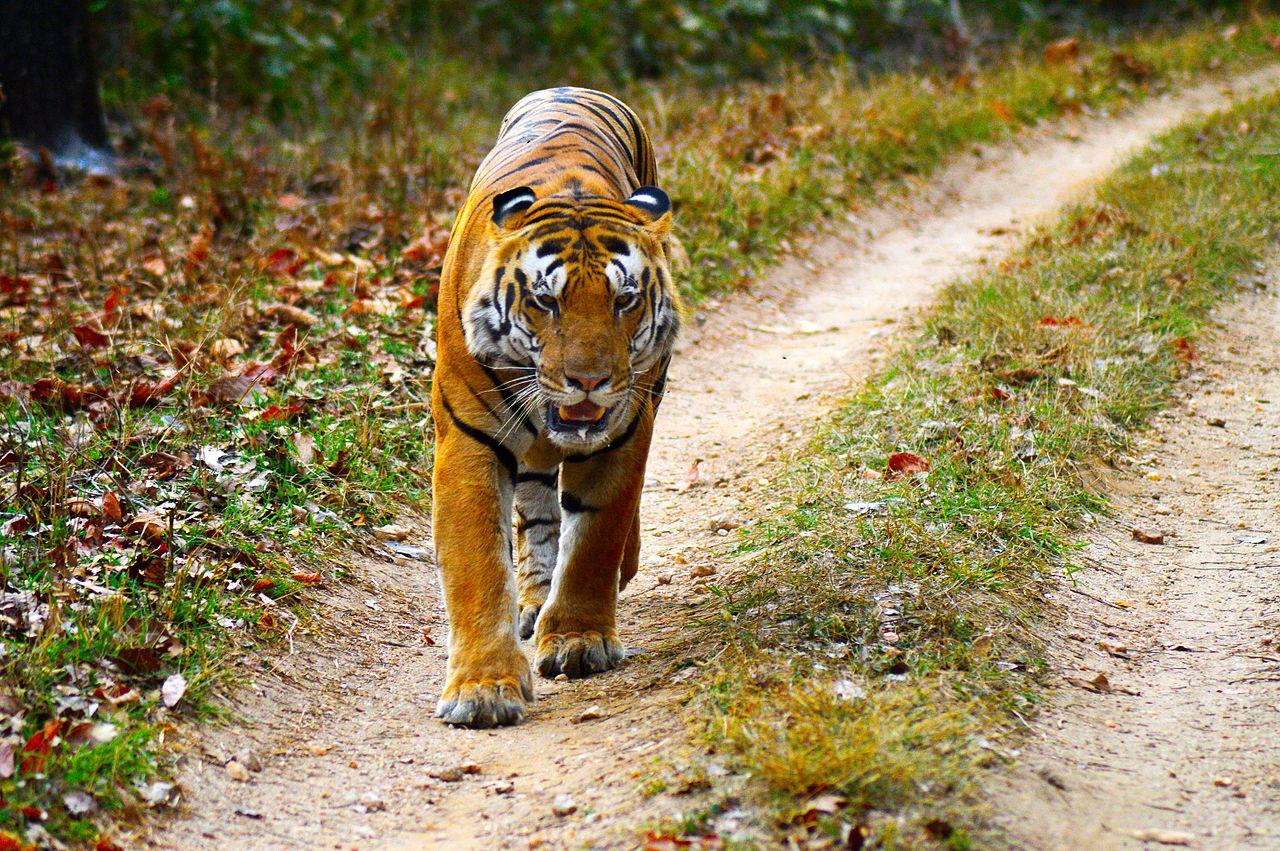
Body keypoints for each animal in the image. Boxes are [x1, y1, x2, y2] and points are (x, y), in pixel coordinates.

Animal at [430, 86, 686, 726]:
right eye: (546, 301)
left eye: (624, 300)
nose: (588, 381)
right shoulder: (469, 438)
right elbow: (478, 561)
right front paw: (483, 688)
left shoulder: (625, 431)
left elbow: (595, 537)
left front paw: (578, 640)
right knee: (539, 507)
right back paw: (533, 596)